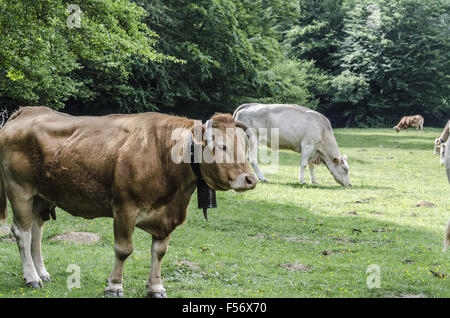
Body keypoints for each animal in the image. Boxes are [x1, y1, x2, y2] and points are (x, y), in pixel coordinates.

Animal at [0, 105, 256, 296]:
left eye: (243, 145)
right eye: (221, 146)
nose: (250, 179)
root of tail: (26, 111)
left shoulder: (166, 216)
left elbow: (159, 252)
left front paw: (156, 287)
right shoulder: (124, 208)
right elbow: (123, 250)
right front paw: (114, 286)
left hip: (41, 195)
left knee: (36, 232)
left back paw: (42, 273)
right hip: (19, 190)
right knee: (22, 233)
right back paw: (32, 277)